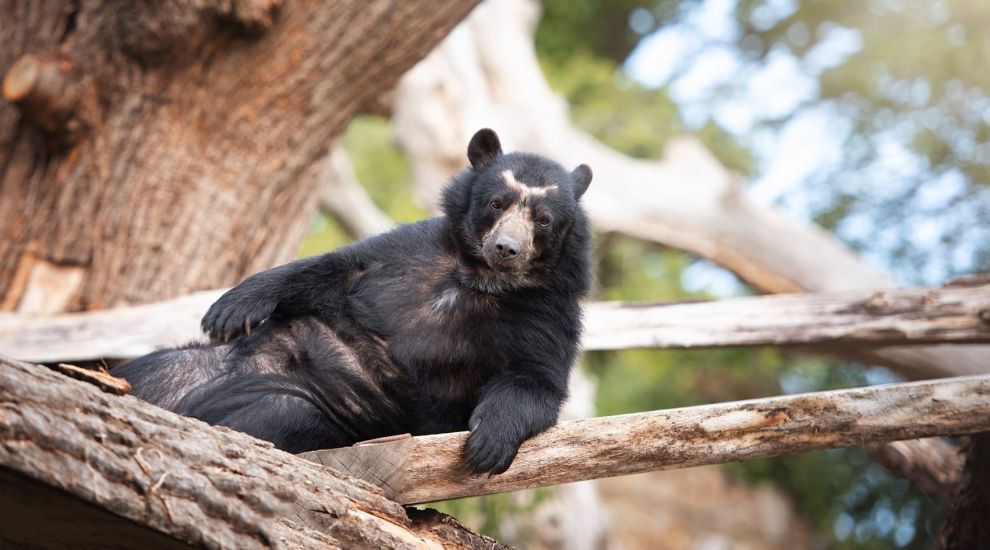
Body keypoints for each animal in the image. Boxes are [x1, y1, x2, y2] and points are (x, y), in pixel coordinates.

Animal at [116, 130, 596, 478]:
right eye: (497, 203)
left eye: (544, 220)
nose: (505, 248)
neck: (479, 280)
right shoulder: (408, 249)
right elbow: (332, 269)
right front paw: (231, 309)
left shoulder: (546, 313)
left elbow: (536, 380)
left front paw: (487, 445)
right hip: (182, 367)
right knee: (149, 373)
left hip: (294, 406)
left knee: (276, 414)